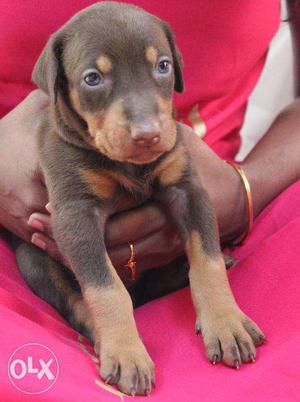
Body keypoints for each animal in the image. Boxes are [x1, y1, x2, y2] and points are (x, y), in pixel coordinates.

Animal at [16, 2, 264, 396]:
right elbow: (105, 288)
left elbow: (205, 260)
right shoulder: (73, 213)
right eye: (92, 78)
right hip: (32, 255)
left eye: (162, 66)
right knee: (80, 303)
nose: (148, 135)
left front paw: (226, 322)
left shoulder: (188, 189)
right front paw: (126, 352)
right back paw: (107, 343)